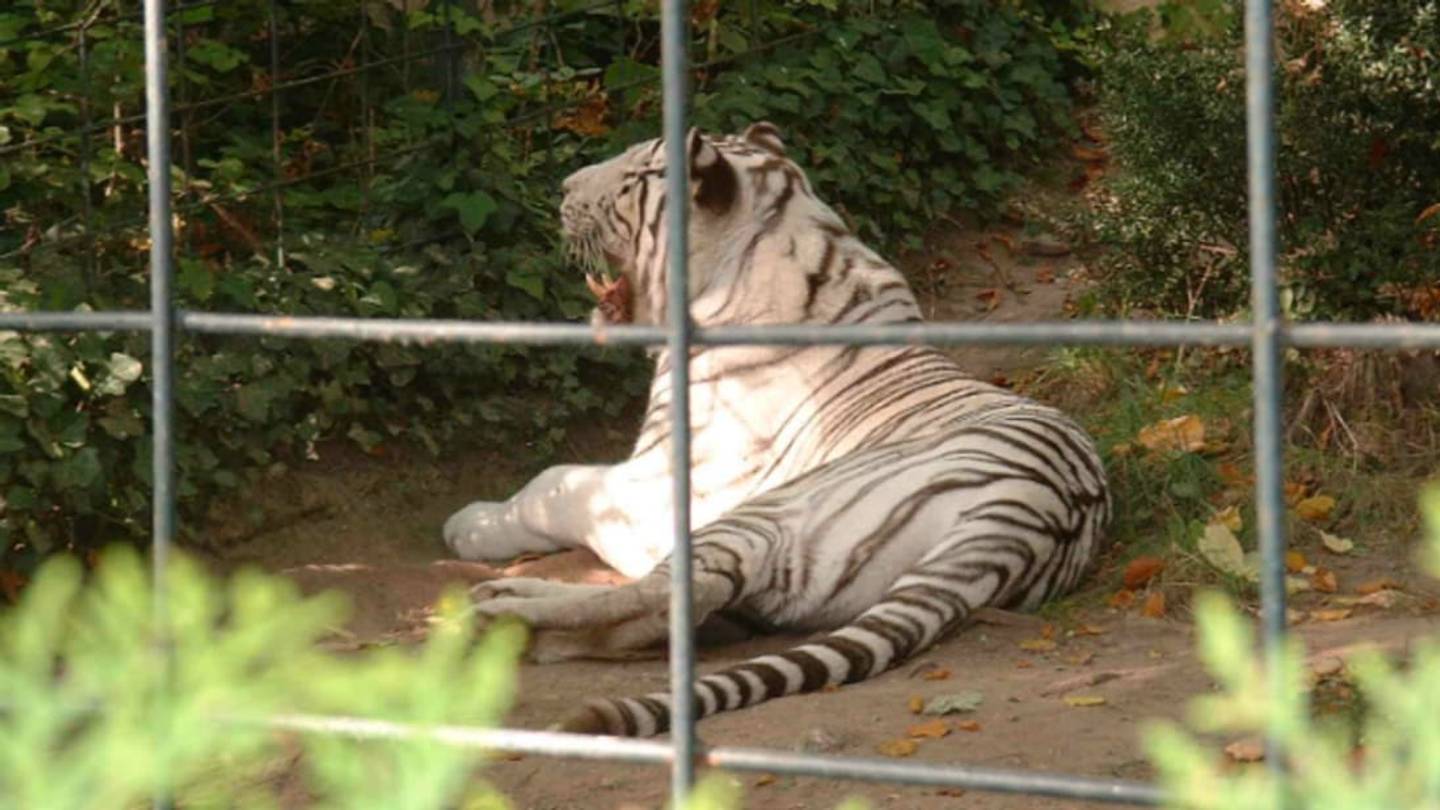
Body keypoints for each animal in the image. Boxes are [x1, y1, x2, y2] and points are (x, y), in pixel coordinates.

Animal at [442, 122, 1110, 737]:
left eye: (633, 173)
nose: (563, 188)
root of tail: (1027, 517)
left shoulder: (659, 488)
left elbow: (557, 483)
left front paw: (470, 526)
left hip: (767, 513)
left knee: (677, 592)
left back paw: (496, 609)